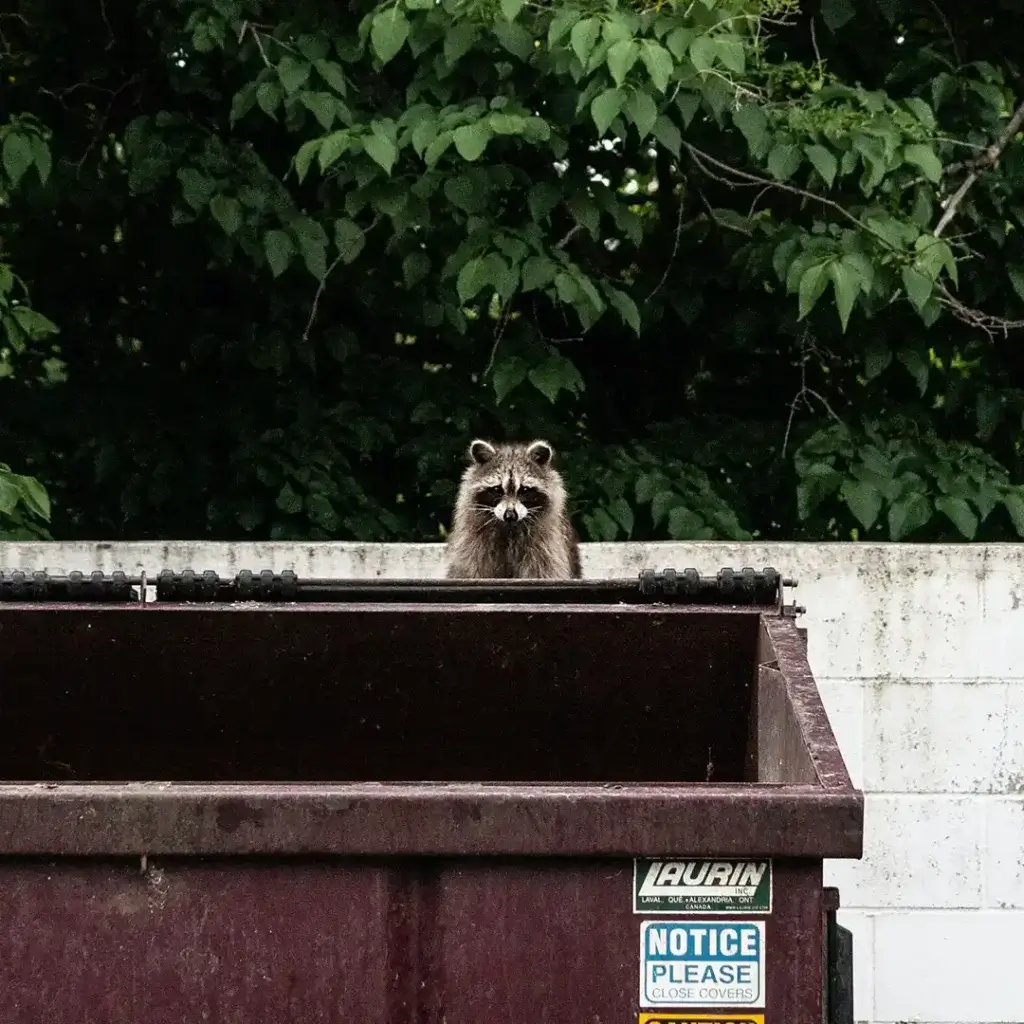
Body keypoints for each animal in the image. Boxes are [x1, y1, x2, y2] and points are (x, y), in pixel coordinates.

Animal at [444, 438, 581, 581]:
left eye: (524, 490)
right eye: (497, 489)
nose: (510, 515)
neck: (509, 528)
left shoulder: (546, 544)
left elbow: (544, 570)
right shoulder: (472, 540)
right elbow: (470, 567)